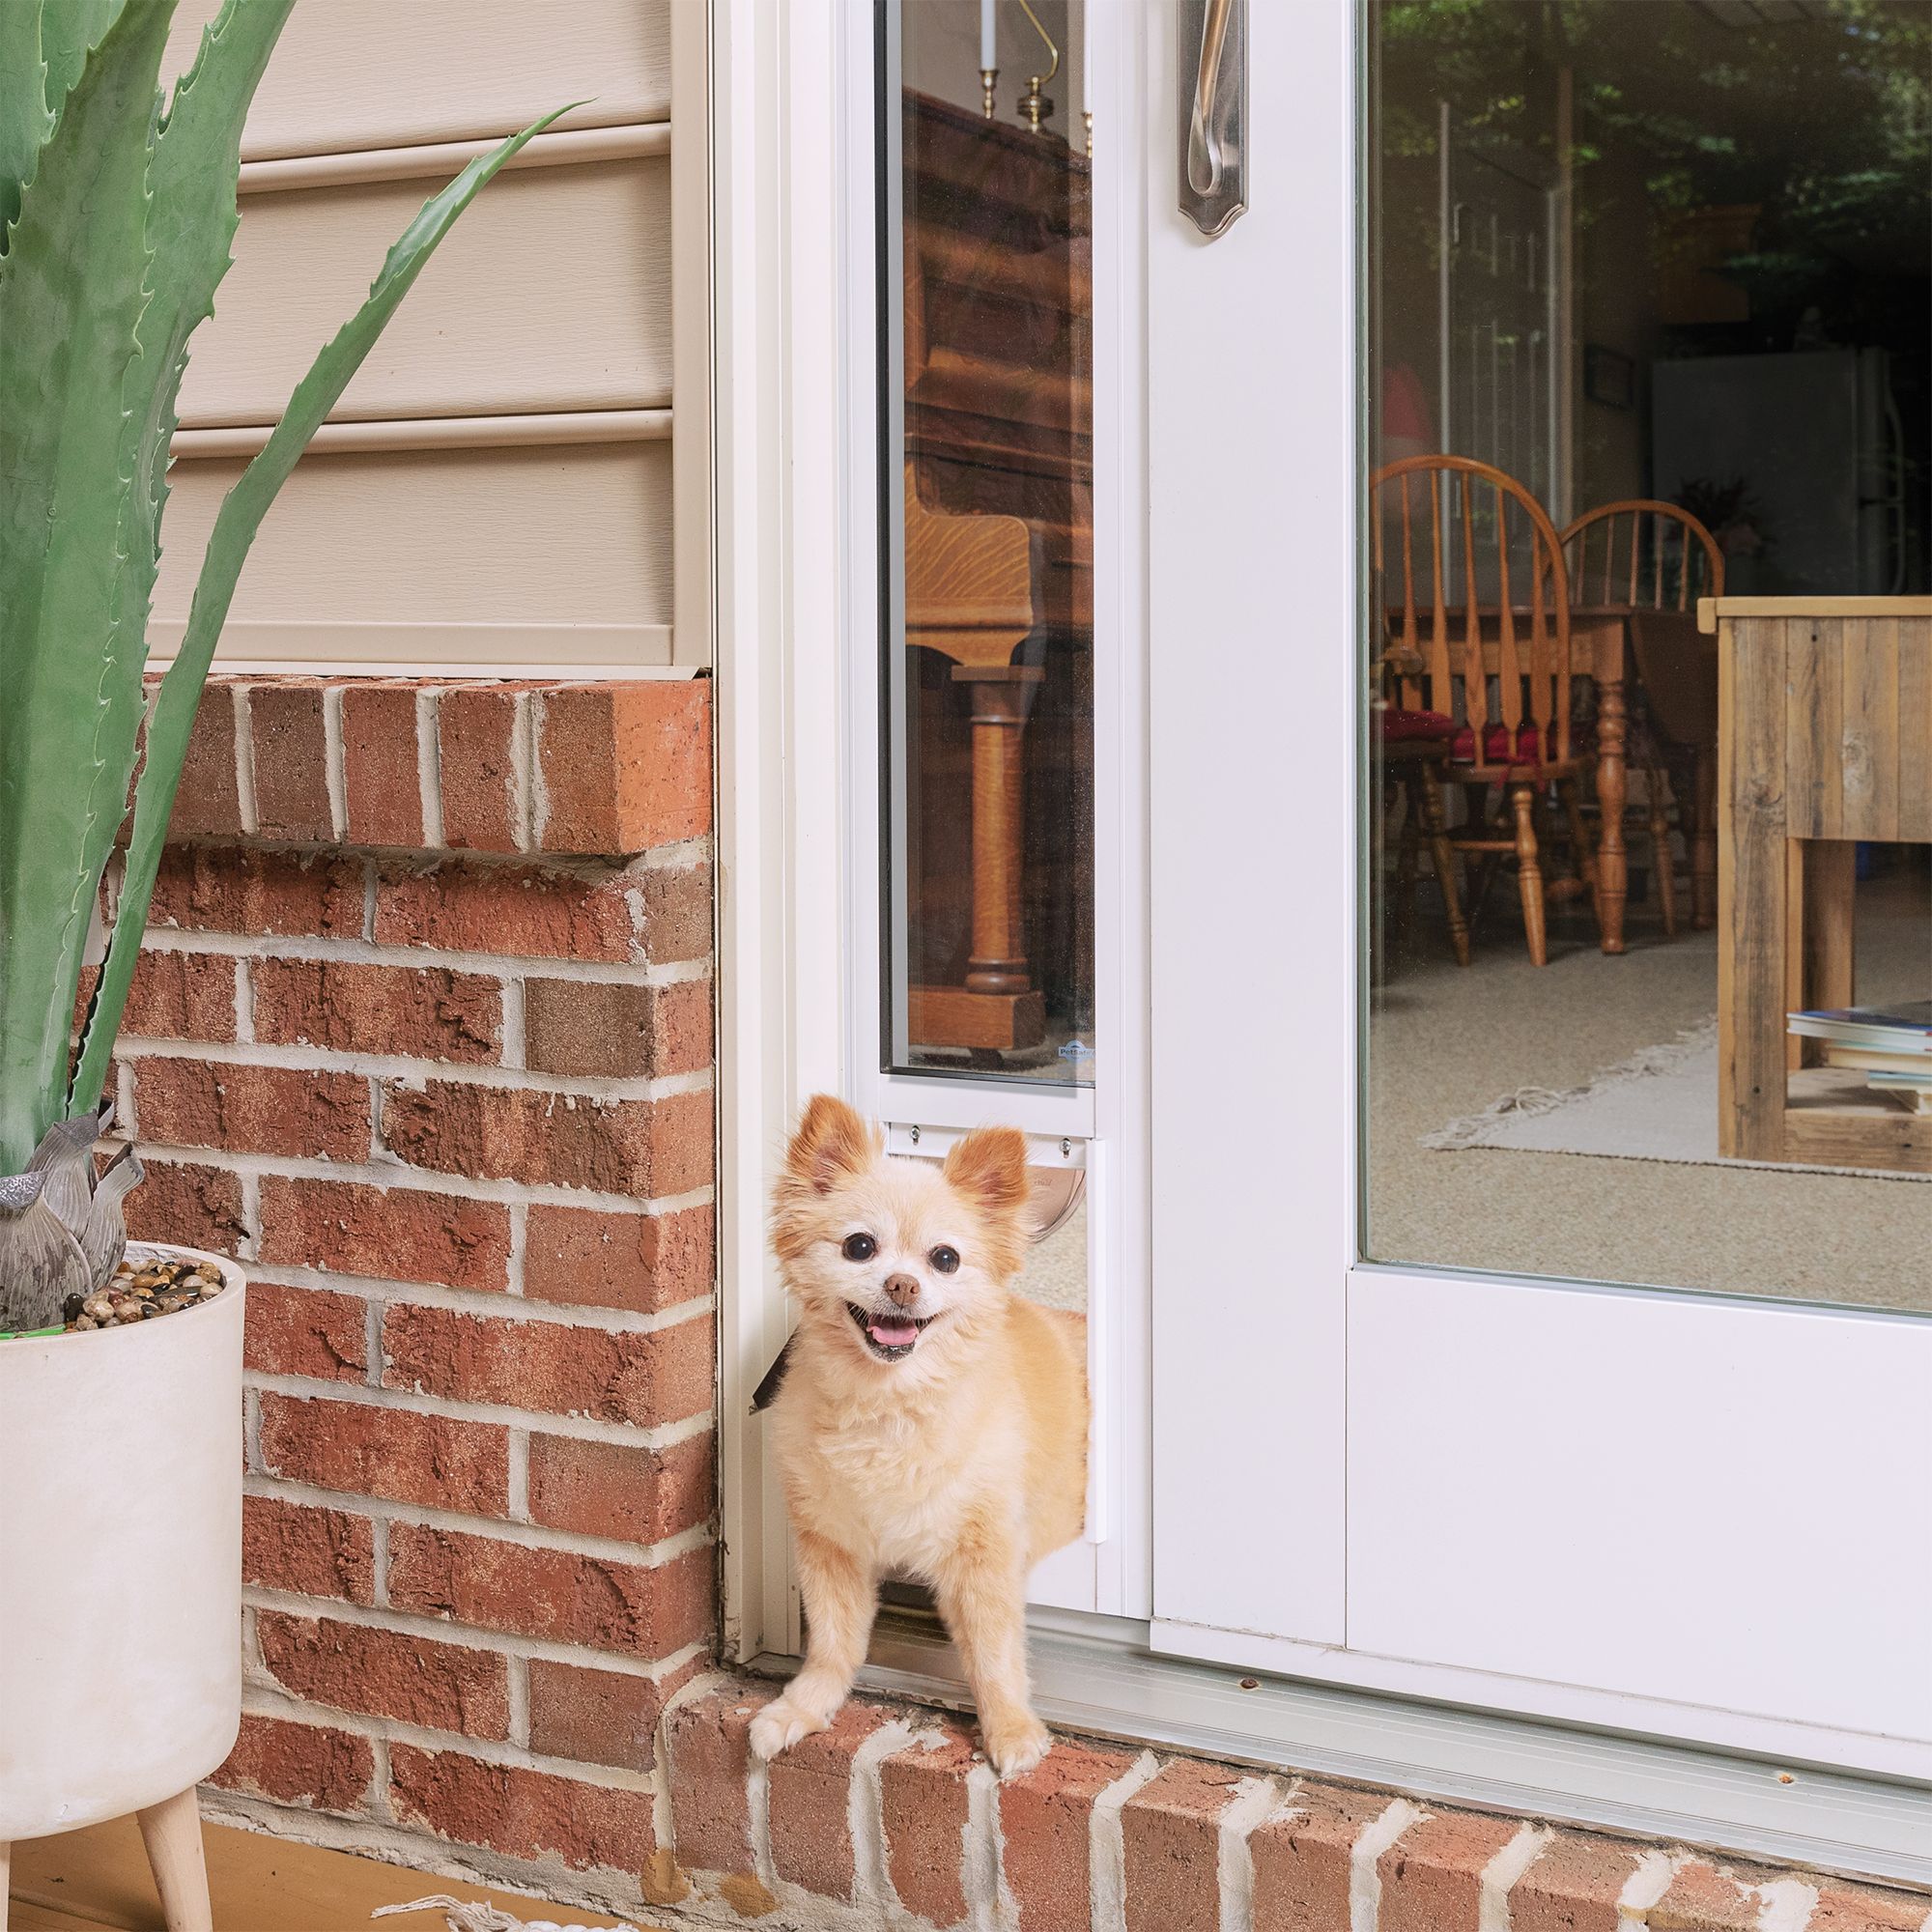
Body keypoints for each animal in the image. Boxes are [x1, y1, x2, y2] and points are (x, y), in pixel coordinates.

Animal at [753, 1097, 1090, 1770]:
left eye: (945, 1258)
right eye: (859, 1246)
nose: (902, 1284)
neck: (890, 1404)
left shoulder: (984, 1553)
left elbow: (993, 1653)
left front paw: (1011, 1729)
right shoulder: (831, 1544)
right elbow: (833, 1641)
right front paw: (802, 1706)